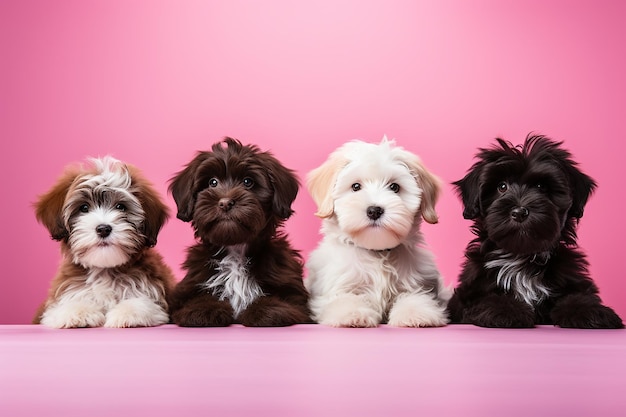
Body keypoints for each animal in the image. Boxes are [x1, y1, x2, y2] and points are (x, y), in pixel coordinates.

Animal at [34, 154, 176, 326]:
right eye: (84, 208)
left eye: (120, 207)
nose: (103, 229)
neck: (105, 269)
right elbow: (69, 304)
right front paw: (78, 311)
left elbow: (143, 303)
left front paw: (128, 313)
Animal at [168, 136, 310, 324]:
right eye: (212, 182)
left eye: (248, 182)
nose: (225, 202)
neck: (235, 250)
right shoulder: (184, 293)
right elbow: (194, 302)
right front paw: (203, 309)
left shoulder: (295, 298)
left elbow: (285, 305)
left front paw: (265, 309)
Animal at [304, 138, 446, 326]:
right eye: (355, 186)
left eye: (394, 187)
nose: (374, 210)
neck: (377, 252)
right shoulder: (335, 287)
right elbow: (344, 299)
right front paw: (352, 313)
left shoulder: (415, 283)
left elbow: (415, 297)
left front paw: (416, 313)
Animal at [446, 134, 620, 328]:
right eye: (502, 186)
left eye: (541, 187)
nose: (519, 212)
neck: (522, 257)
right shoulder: (473, 291)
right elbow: (489, 299)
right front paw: (506, 310)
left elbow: (578, 296)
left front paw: (590, 310)